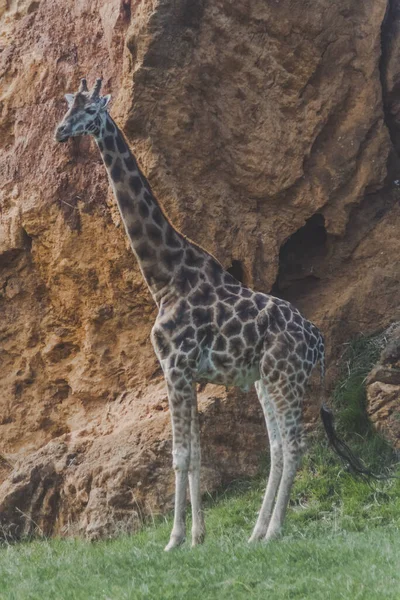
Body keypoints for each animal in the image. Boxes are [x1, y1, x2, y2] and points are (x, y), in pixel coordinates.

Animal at [54, 77, 332, 552]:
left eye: (90, 111)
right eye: (67, 107)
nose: (59, 131)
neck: (165, 277)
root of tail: (317, 341)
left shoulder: (176, 366)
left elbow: (180, 455)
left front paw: (174, 539)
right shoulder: (189, 374)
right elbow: (198, 454)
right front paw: (199, 536)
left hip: (285, 376)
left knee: (295, 446)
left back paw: (275, 531)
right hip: (265, 381)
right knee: (278, 448)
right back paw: (256, 533)